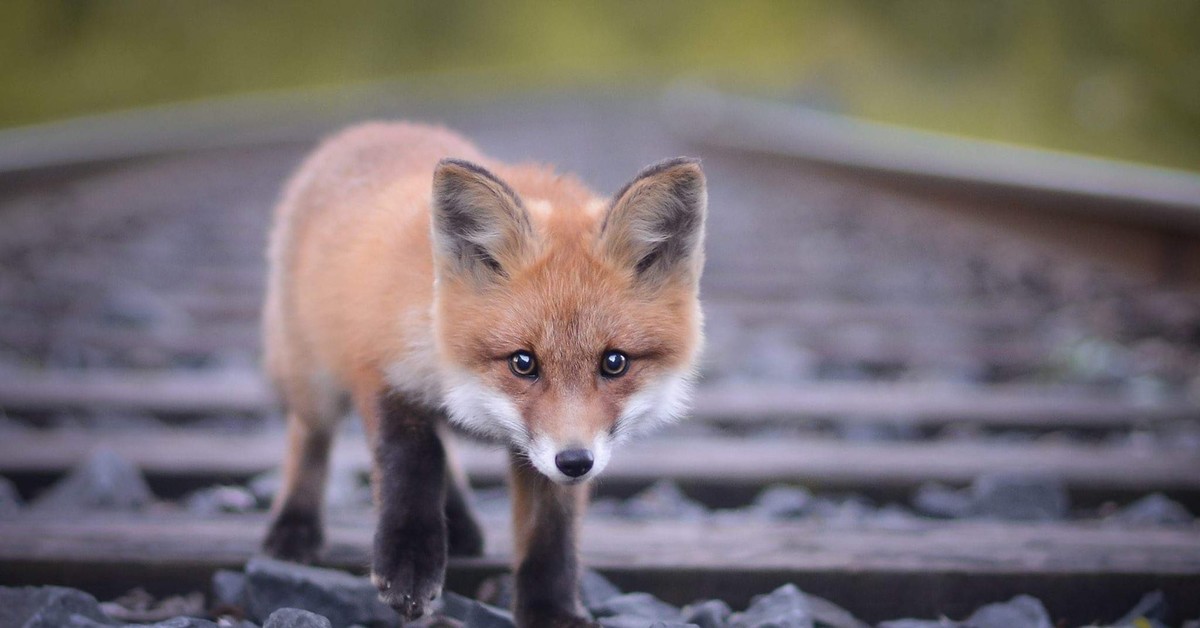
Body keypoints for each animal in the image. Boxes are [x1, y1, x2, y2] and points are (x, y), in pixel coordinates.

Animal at [260, 120, 700, 624]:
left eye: (614, 362)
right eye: (523, 362)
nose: (575, 462)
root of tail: (368, 129)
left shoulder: (553, 448)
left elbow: (550, 530)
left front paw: (550, 610)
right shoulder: (380, 368)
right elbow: (414, 459)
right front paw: (409, 562)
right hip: (311, 380)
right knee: (309, 438)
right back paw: (295, 525)